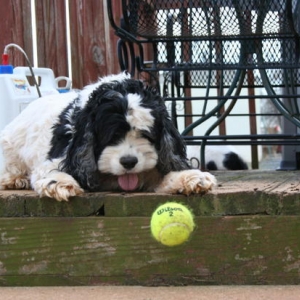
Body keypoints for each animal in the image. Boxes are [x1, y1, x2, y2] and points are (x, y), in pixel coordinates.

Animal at [0, 72, 216, 202]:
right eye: (112, 136)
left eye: (145, 134)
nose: (129, 162)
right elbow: (50, 171)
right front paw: (59, 182)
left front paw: (192, 178)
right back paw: (16, 180)